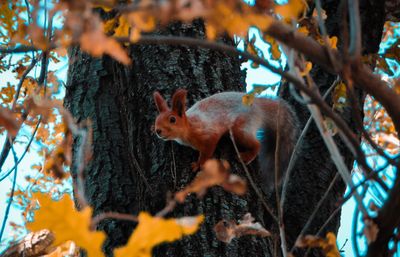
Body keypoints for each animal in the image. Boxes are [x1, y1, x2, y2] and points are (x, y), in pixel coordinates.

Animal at [154, 88, 300, 190]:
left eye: (172, 119)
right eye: (157, 119)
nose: (158, 131)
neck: (189, 127)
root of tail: (258, 106)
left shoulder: (209, 134)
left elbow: (208, 151)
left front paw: (199, 164)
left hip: (240, 129)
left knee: (257, 144)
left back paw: (246, 157)